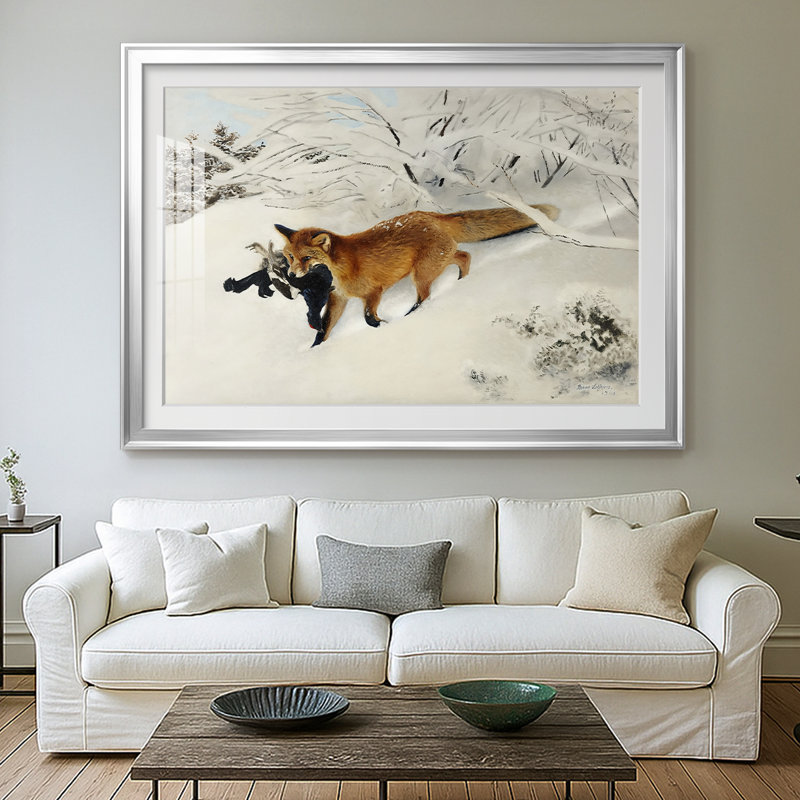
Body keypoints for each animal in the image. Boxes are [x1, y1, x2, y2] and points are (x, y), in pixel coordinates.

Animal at [275, 202, 559, 346]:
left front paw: (384, 325)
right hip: (436, 262)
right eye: (290, 257)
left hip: (421, 273)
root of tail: (430, 215)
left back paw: (413, 314)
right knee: (464, 256)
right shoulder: (338, 298)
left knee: (426, 297)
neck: (342, 267)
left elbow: (368, 318)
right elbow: (324, 329)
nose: (292, 274)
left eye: (307, 258)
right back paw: (462, 282)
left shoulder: (374, 292)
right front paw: (315, 351)